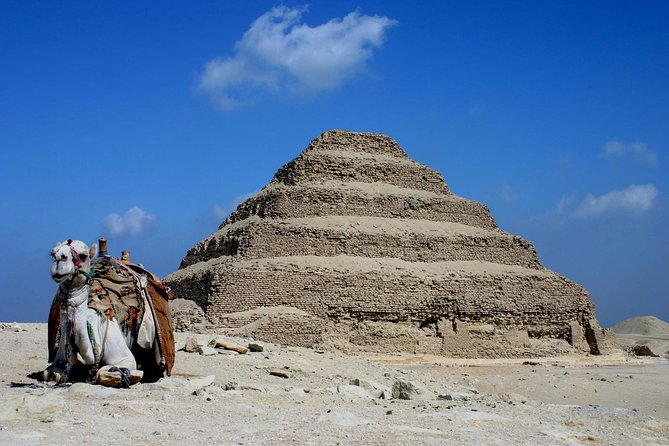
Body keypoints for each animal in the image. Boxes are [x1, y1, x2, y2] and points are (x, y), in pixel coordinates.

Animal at [43, 239, 174, 387]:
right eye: (52, 253)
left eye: (83, 256)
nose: (59, 259)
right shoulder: (58, 358)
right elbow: (49, 373)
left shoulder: (124, 357)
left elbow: (104, 372)